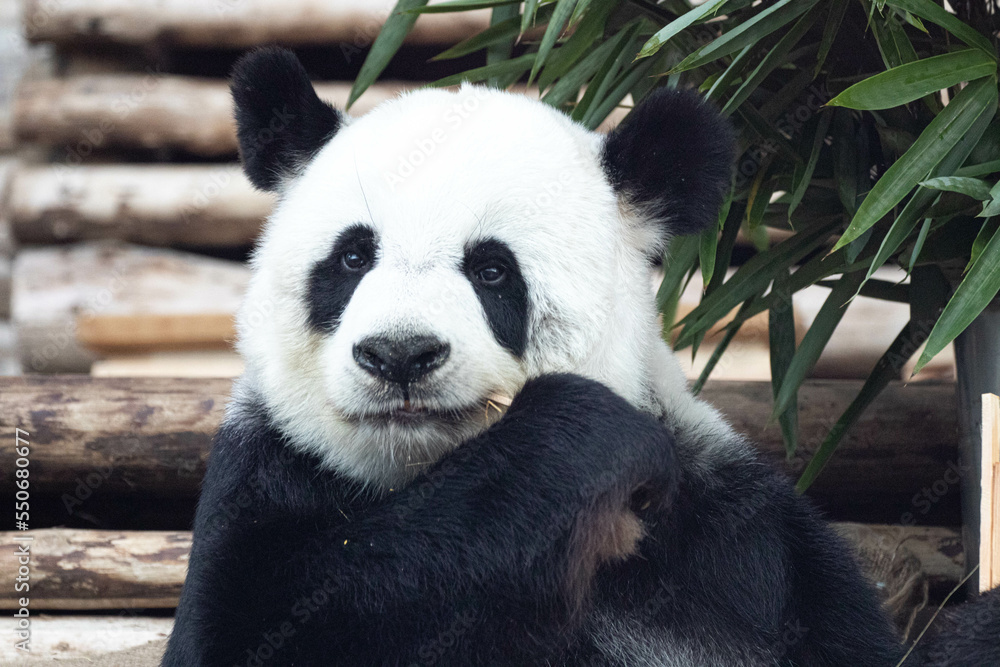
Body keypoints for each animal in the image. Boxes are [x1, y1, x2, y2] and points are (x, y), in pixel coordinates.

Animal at [164, 47, 997, 666]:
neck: (422, 480)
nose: (399, 353)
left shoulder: (737, 544)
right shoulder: (265, 475)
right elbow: (263, 627)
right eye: (351, 257)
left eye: (492, 270)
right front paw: (583, 437)